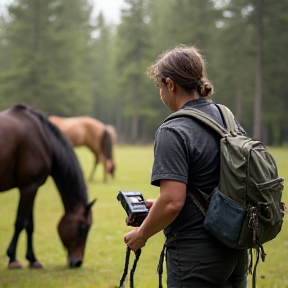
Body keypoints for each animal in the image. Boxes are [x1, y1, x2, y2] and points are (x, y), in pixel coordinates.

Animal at [0, 104, 97, 270]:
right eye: (83, 227)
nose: (78, 262)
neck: (43, 138)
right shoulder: (28, 187)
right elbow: (20, 223)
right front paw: (13, 259)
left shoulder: (31, 187)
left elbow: (29, 225)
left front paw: (32, 259)